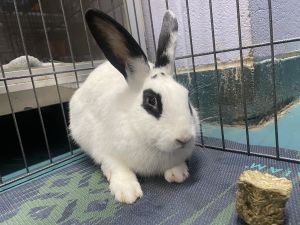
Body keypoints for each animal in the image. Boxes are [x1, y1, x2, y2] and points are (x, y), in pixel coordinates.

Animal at [68, 8, 199, 204]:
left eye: (187, 96)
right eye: (151, 101)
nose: (184, 138)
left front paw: (178, 174)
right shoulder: (107, 153)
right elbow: (118, 169)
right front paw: (127, 193)